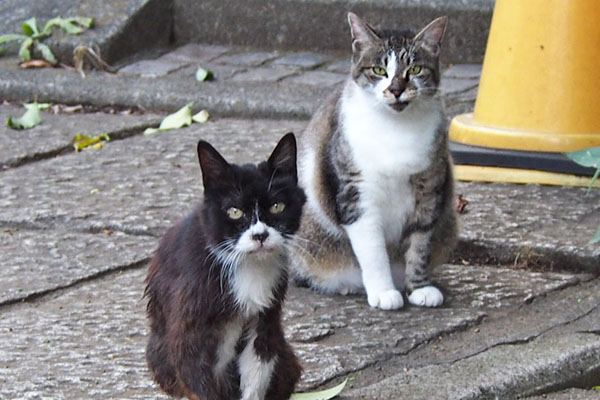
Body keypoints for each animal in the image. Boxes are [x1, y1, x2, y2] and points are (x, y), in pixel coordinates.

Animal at [145, 134, 304, 400]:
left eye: (277, 206)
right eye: (234, 211)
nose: (260, 235)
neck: (248, 266)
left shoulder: (266, 317)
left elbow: (258, 367)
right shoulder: (188, 323)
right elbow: (195, 374)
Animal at [290, 12, 454, 310]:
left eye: (415, 69)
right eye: (379, 71)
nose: (396, 89)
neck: (396, 127)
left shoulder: (429, 192)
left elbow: (420, 245)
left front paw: (420, 288)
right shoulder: (356, 194)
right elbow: (373, 251)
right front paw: (383, 291)